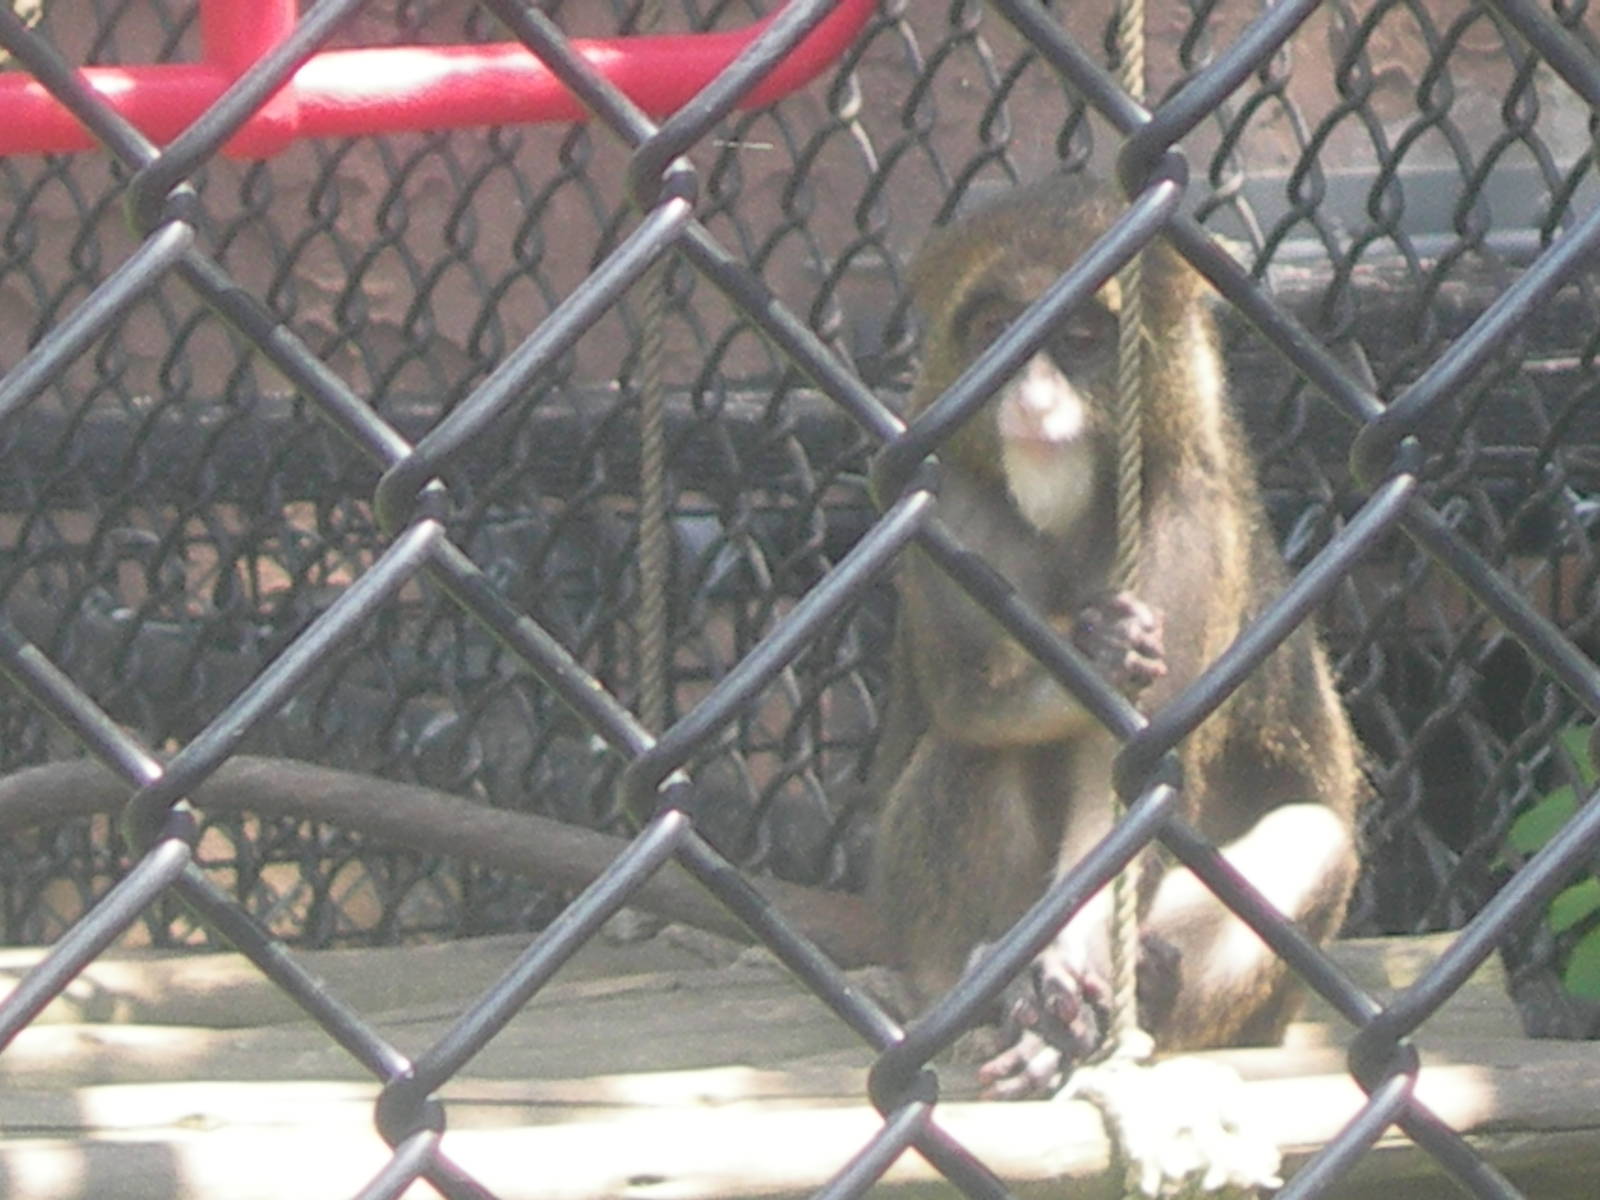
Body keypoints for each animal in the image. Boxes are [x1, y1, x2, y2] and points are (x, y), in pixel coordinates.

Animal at [870, 173, 1364, 1102]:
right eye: (995, 331)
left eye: (1080, 339)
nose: (1030, 402)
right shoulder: (952, 499)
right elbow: (972, 699)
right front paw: (1094, 651)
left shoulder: (1190, 510)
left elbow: (1128, 773)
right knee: (974, 750)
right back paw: (985, 989)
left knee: (1313, 836)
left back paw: (1139, 993)